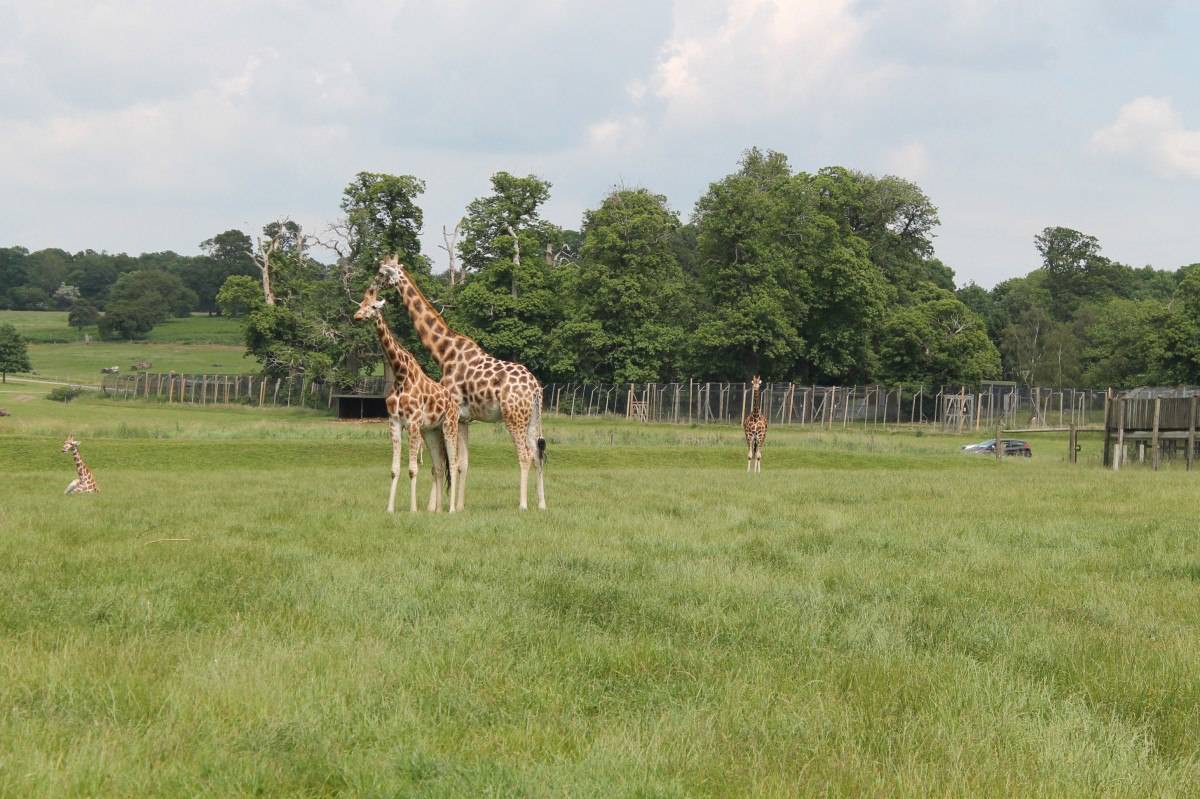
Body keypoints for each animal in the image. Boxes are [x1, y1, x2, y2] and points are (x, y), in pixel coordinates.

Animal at [350, 283, 458, 513]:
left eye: (374, 306)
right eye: (361, 304)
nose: (357, 316)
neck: (401, 376)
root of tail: (453, 402)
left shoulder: (413, 422)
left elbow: (412, 469)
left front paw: (413, 509)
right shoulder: (395, 422)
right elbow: (394, 469)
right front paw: (390, 509)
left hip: (448, 426)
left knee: (452, 464)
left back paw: (452, 509)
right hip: (432, 431)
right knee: (438, 465)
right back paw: (436, 510)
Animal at [374, 255, 549, 511]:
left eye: (381, 273)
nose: (372, 285)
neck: (444, 352)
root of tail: (536, 389)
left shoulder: (451, 414)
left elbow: (447, 461)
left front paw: (438, 507)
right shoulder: (465, 418)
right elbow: (462, 463)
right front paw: (458, 506)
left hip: (513, 417)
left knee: (525, 454)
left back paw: (523, 505)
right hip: (532, 417)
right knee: (537, 454)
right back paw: (542, 504)